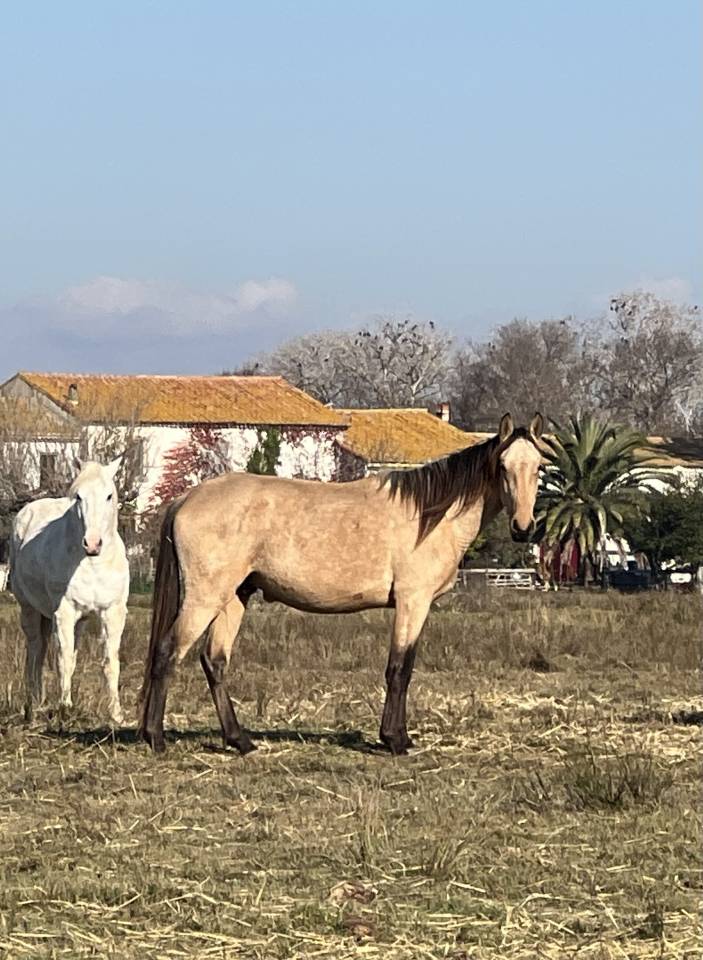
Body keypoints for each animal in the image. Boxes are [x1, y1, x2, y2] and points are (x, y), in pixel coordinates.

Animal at [10, 459, 130, 724]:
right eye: (78, 496)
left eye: (109, 496)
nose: (93, 543)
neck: (92, 563)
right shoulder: (64, 612)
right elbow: (63, 660)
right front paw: (65, 707)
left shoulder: (113, 613)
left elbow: (110, 662)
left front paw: (116, 714)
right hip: (30, 609)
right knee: (35, 651)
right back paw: (32, 704)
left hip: (76, 620)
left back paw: (40, 700)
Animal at [139, 412, 544, 756]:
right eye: (503, 466)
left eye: (538, 466)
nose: (523, 529)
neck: (429, 515)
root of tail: (187, 498)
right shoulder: (413, 602)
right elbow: (400, 668)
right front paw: (395, 740)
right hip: (204, 599)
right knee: (166, 652)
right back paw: (155, 738)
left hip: (234, 598)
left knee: (215, 661)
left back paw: (240, 741)